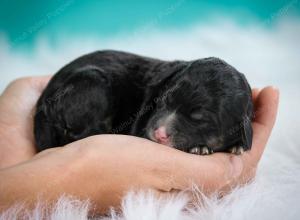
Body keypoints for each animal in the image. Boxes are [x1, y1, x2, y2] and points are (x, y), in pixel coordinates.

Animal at [33, 50, 253, 156]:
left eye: (199, 119)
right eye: (163, 100)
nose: (159, 133)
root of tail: (43, 103)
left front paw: (238, 146)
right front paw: (200, 148)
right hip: (93, 82)